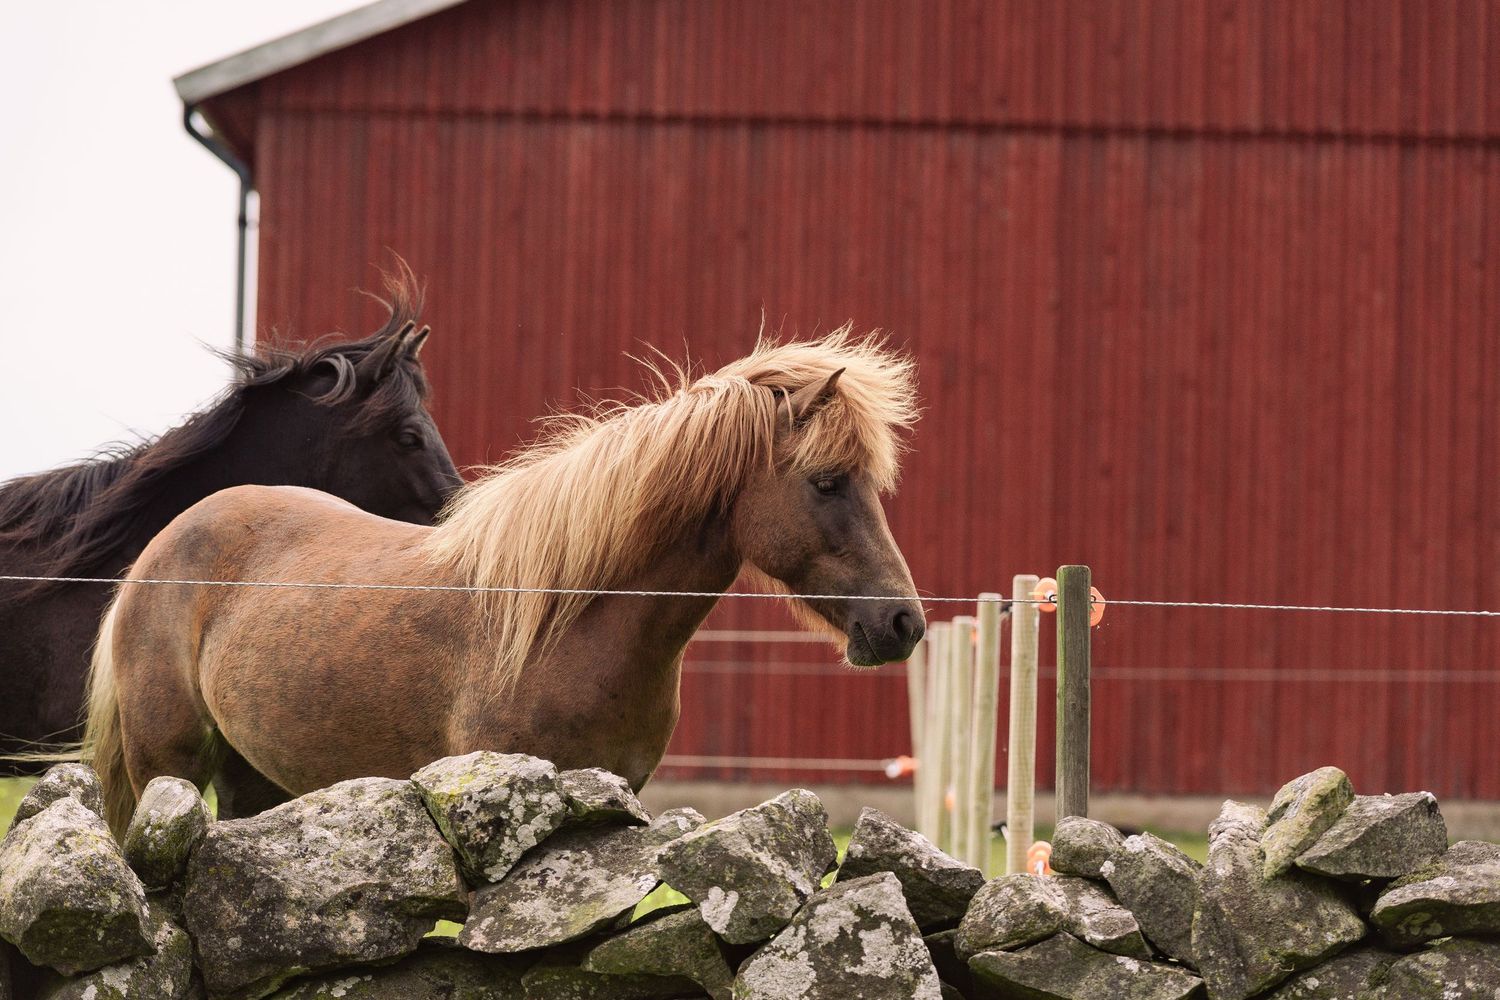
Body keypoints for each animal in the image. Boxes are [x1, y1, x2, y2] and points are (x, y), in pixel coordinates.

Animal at [78, 331, 926, 832]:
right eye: (826, 482)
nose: (902, 623)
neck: (570, 626)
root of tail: (162, 549)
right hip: (168, 766)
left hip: (255, 778)